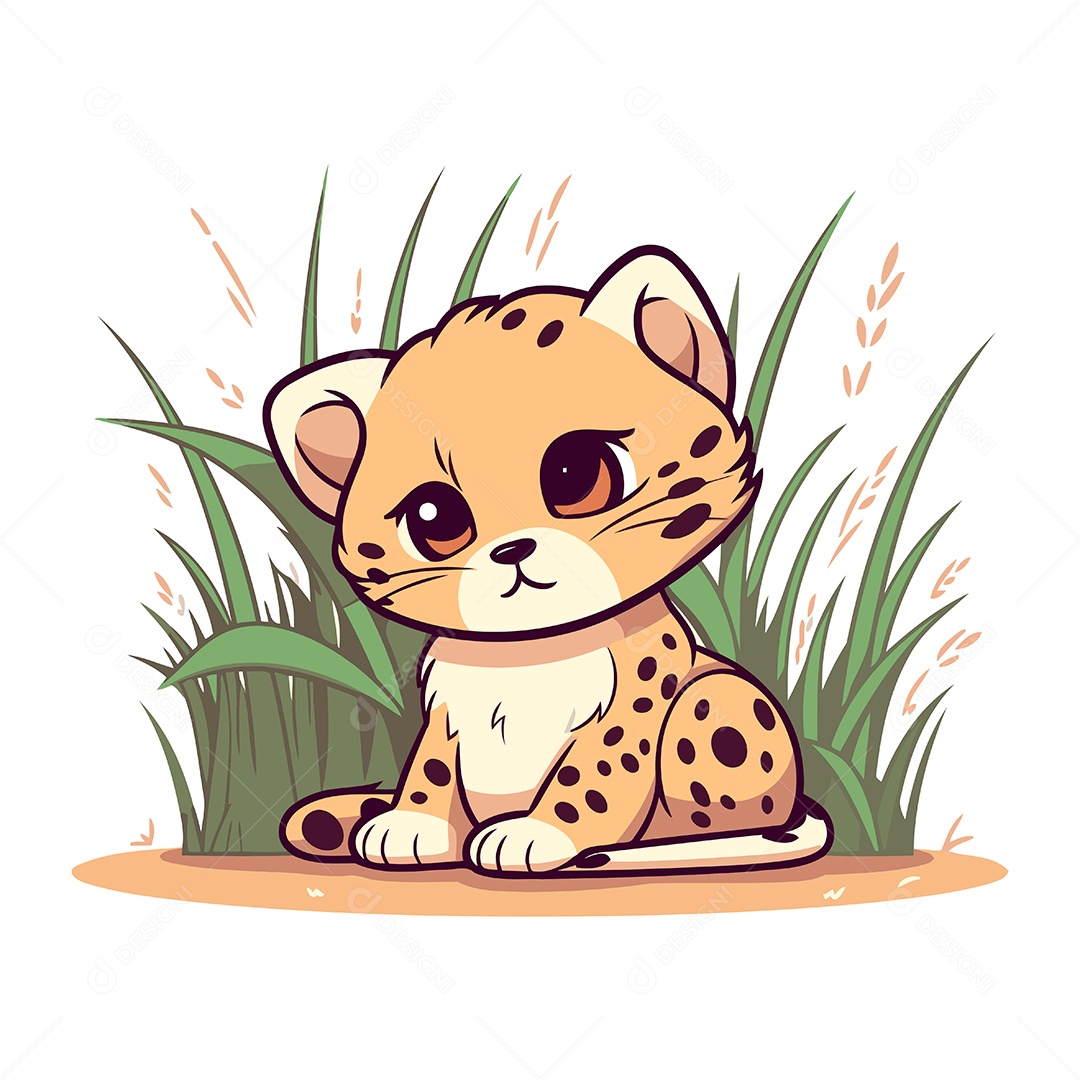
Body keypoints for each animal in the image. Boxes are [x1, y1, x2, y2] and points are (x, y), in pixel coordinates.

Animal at [263, 245, 831, 875]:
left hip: (712, 698)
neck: (528, 651)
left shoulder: (630, 705)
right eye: (433, 518)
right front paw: (412, 823)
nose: (512, 550)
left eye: (579, 474)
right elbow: (431, 770)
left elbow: (593, 775)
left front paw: (537, 833)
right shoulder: (445, 714)